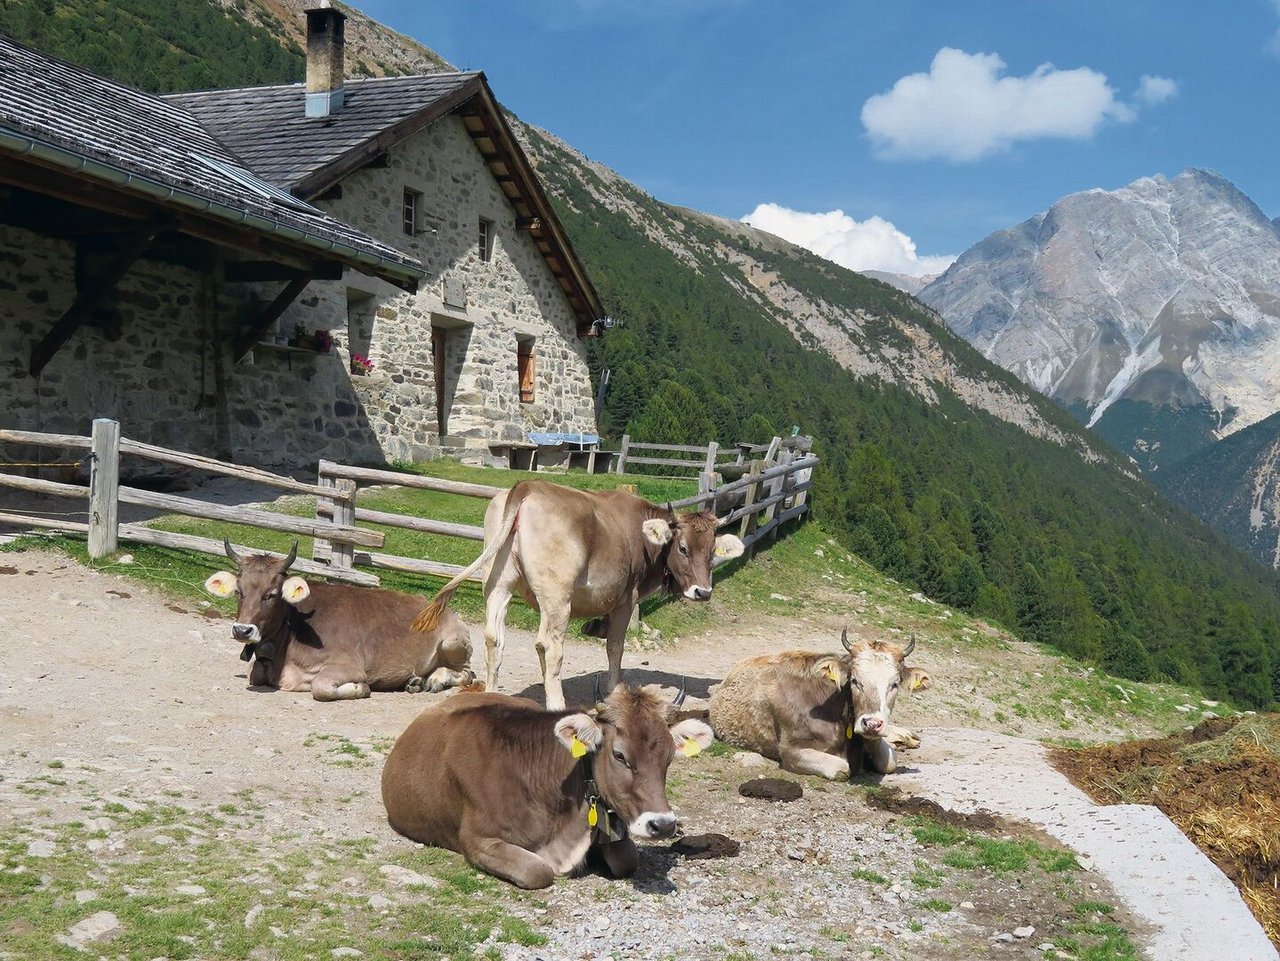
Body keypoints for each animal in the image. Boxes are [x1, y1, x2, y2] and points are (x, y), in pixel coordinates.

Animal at [204, 542, 476, 701]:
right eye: (238, 591)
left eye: (271, 594)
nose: (242, 630)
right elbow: (254, 672)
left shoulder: (349, 665)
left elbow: (321, 686)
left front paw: (359, 689)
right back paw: (414, 681)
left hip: (452, 642)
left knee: (466, 673)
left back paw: (436, 680)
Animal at [378, 685, 721, 885]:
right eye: (620, 755)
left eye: (669, 756)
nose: (662, 825)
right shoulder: (477, 839)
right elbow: (538, 871)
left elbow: (627, 860)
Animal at [711, 632, 931, 783]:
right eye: (854, 680)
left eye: (895, 684)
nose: (871, 723)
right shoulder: (791, 750)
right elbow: (843, 768)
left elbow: (889, 763)